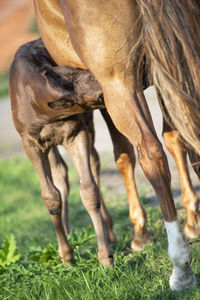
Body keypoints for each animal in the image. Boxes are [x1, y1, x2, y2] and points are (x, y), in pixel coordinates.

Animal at [32, 0, 199, 290]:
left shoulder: (106, 93)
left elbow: (123, 156)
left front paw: (140, 234)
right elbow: (177, 138)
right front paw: (193, 222)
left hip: (117, 84)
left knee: (150, 155)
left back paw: (181, 267)